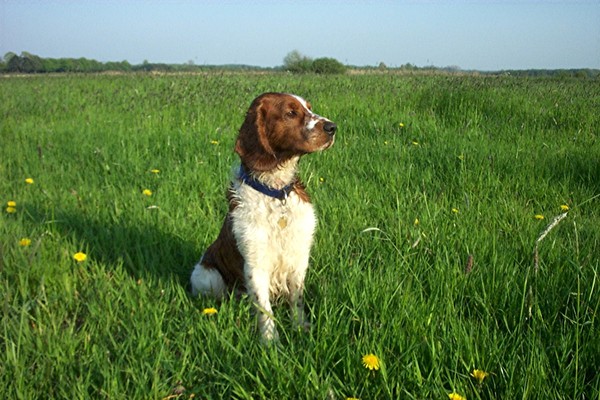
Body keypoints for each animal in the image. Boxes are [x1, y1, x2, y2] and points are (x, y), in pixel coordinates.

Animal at [190, 92, 336, 340]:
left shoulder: (298, 258)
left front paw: (300, 327)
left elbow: (297, 299)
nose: (332, 127)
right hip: (206, 277)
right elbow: (264, 308)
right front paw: (270, 342)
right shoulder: (255, 263)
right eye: (290, 112)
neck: (276, 193)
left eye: (309, 108)